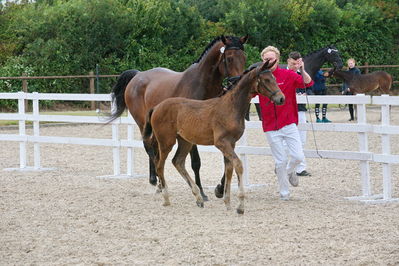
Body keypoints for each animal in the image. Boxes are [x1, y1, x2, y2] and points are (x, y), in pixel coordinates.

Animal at [108, 34, 248, 201]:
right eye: (229, 58)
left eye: (244, 57)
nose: (238, 82)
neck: (203, 85)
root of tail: (138, 75)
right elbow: (196, 162)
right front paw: (201, 192)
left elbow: (228, 158)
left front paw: (220, 189)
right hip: (143, 123)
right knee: (150, 148)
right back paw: (156, 181)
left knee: (155, 148)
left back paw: (159, 184)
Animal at [142, 59, 286, 213]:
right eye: (266, 80)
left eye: (274, 78)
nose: (281, 98)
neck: (231, 107)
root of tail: (156, 107)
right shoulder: (221, 143)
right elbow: (238, 165)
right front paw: (240, 206)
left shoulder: (231, 143)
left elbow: (229, 169)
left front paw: (227, 202)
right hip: (166, 142)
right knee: (159, 165)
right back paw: (166, 198)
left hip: (185, 142)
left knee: (178, 162)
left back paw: (198, 198)